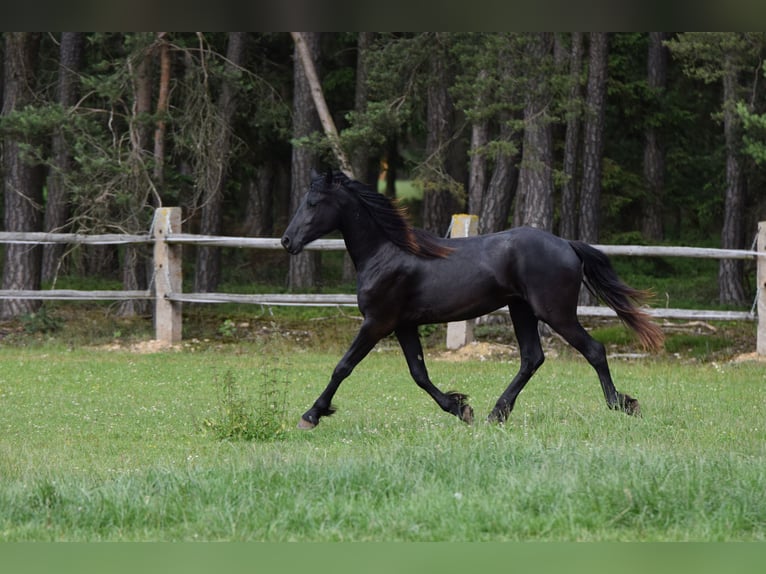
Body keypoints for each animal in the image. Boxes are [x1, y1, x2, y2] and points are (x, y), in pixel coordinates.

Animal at [282, 173, 664, 430]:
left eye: (313, 203)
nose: (287, 241)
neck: (387, 253)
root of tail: (567, 244)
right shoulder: (404, 324)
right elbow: (419, 374)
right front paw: (460, 408)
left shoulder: (377, 322)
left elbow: (343, 367)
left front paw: (311, 414)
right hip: (521, 310)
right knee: (532, 358)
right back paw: (497, 413)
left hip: (555, 312)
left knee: (593, 350)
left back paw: (620, 404)